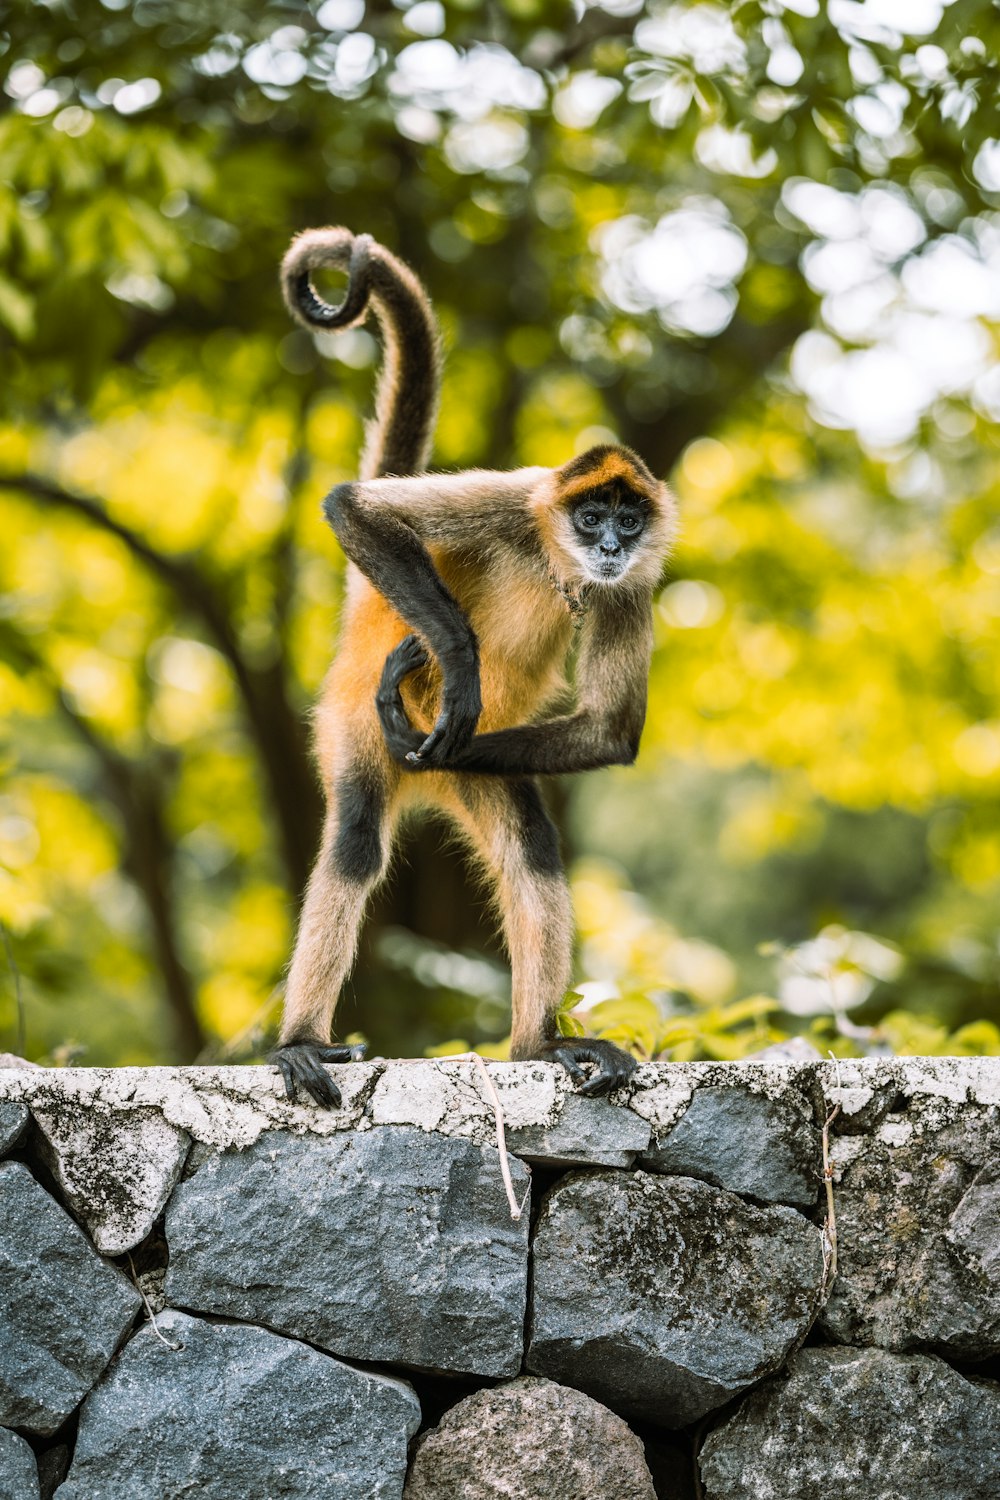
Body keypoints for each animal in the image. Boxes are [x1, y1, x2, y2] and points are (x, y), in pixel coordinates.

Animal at [274, 228, 677, 1110]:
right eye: (590, 515)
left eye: (630, 520)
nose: (609, 544)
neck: (558, 556)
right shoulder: (519, 496)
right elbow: (353, 505)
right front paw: (456, 665)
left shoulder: (632, 585)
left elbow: (608, 733)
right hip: (348, 725)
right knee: (356, 838)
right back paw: (301, 1043)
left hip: (482, 768)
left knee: (529, 843)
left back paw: (537, 1047)